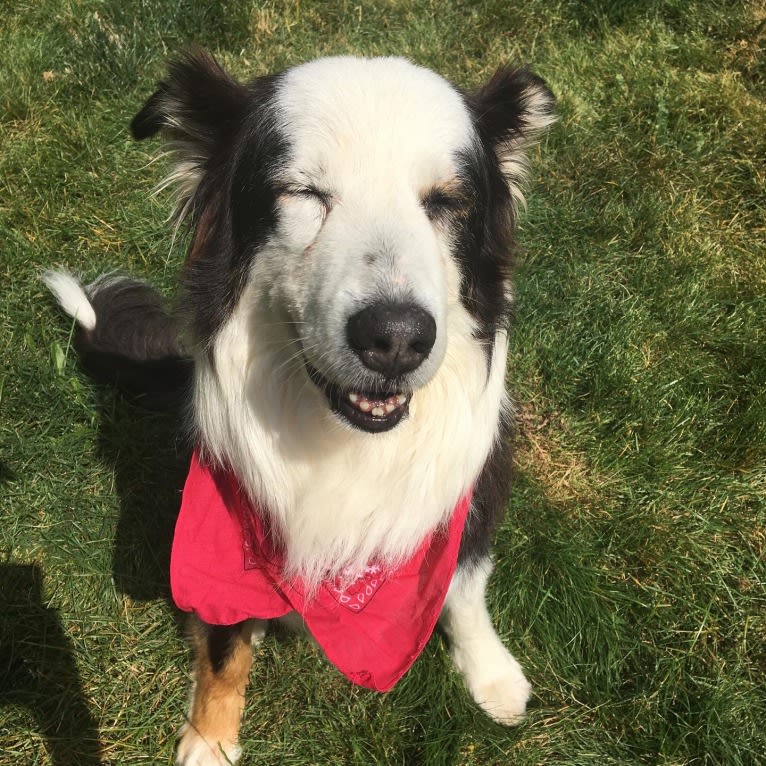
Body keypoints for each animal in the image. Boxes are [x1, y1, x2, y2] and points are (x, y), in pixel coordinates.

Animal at [45, 51, 556, 764]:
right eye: (304, 193)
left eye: (446, 202)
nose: (396, 338)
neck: (349, 443)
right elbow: (224, 645)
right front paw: (210, 737)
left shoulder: (470, 494)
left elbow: (463, 585)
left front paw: (490, 672)